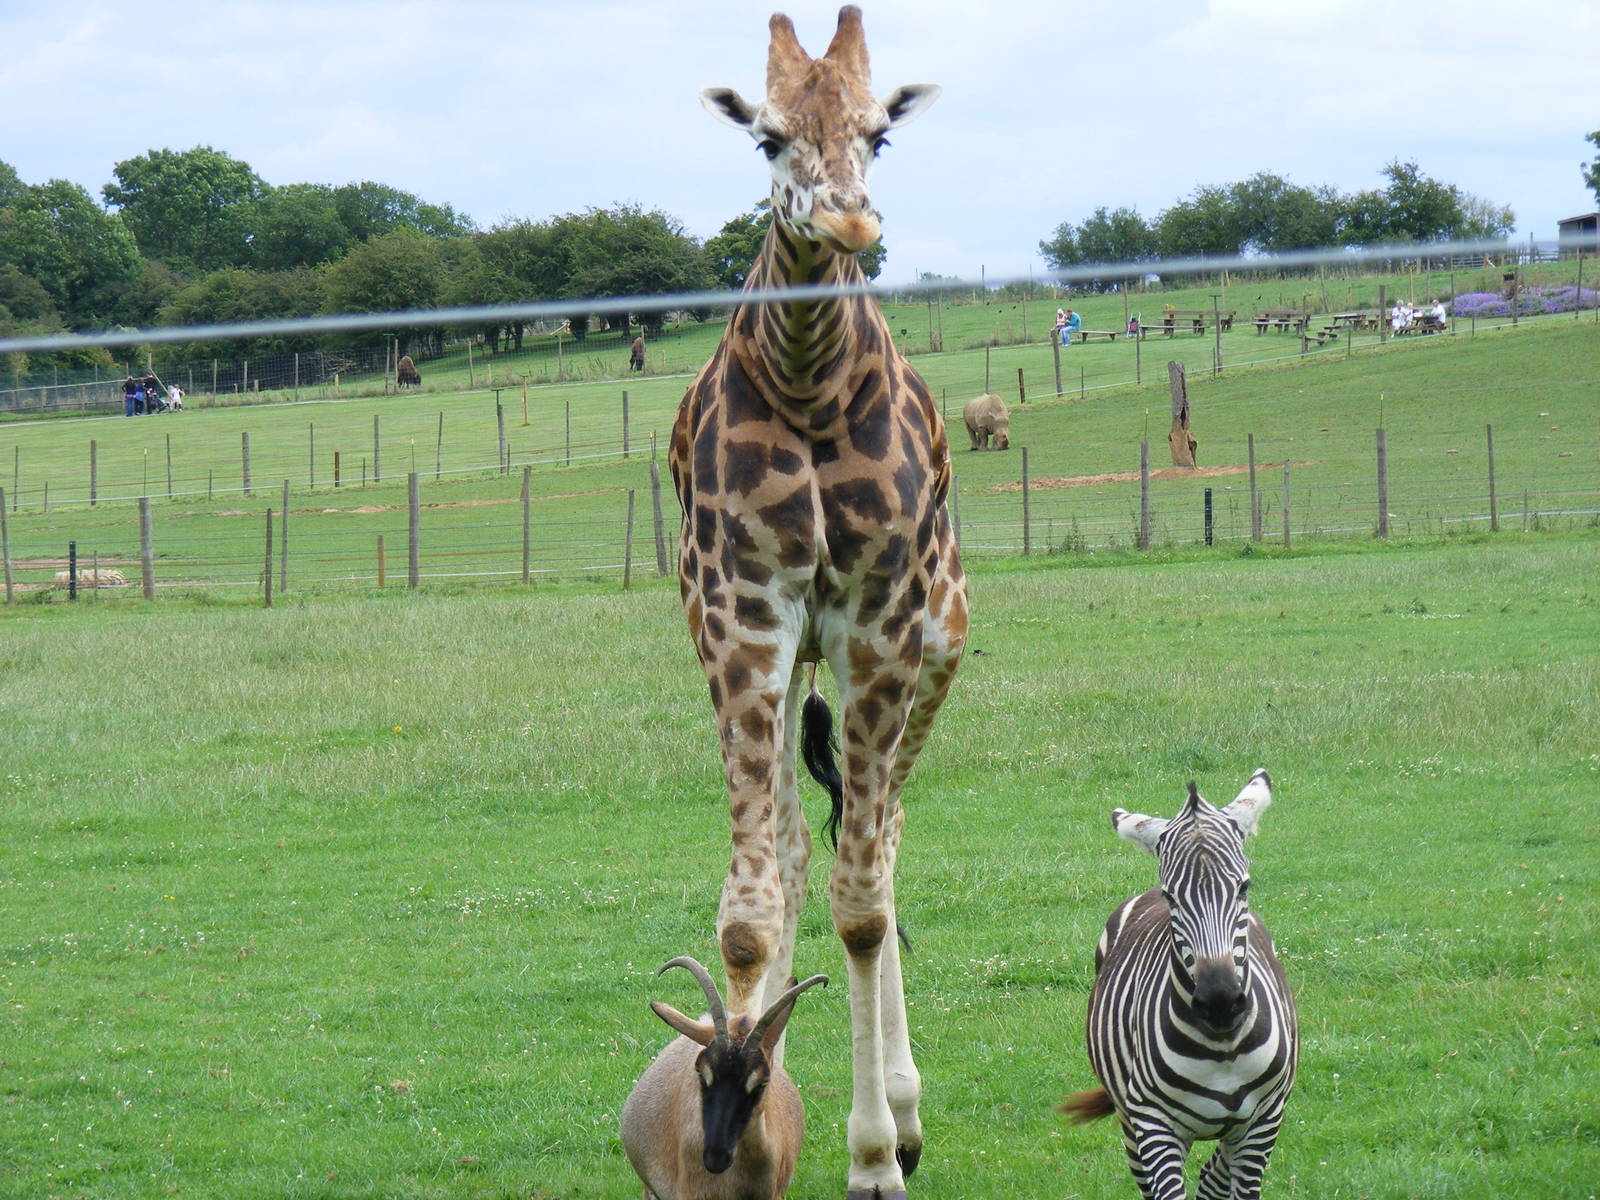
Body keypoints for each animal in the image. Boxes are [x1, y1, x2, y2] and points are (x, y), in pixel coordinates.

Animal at [668, 9, 966, 1199]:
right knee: (807, 850)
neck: (807, 379)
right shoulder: (743, 617)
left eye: (879, 134)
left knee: (882, 844)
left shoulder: (879, 626)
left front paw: (875, 1157)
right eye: (766, 136)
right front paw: (740, 1089)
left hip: (935, 653)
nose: (845, 215)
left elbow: (863, 904)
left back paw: (907, 1110)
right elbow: (754, 912)